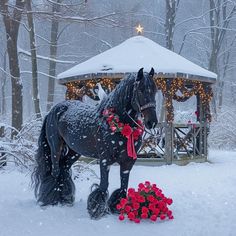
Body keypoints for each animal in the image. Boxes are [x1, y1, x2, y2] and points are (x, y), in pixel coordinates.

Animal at [30, 67, 157, 218]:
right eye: (141, 90)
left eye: (154, 90)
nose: (152, 122)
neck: (118, 124)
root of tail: (54, 110)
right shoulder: (105, 160)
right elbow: (103, 185)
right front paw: (97, 210)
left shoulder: (127, 162)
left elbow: (123, 187)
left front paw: (116, 208)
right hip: (55, 148)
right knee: (55, 172)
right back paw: (51, 200)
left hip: (74, 152)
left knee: (64, 168)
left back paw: (65, 198)